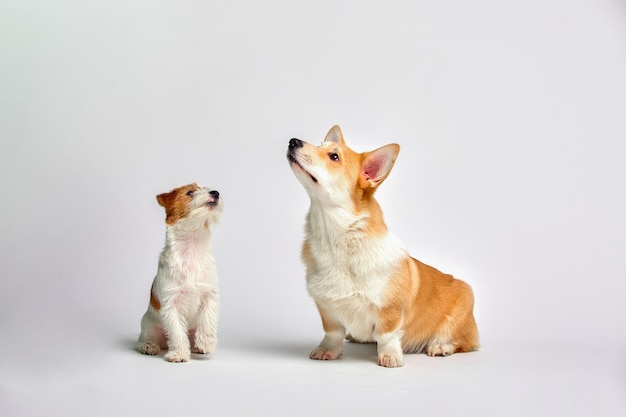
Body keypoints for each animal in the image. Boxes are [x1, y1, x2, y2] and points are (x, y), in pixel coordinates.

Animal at [136, 182, 222, 360]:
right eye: (190, 192)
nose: (216, 192)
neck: (192, 245)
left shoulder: (210, 295)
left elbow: (208, 320)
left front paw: (206, 343)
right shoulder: (171, 303)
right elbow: (176, 332)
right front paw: (179, 353)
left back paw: (196, 346)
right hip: (149, 326)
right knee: (141, 341)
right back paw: (148, 346)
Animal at [288, 125, 478, 366]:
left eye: (334, 156)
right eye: (320, 145)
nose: (293, 141)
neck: (335, 236)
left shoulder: (390, 310)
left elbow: (386, 334)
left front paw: (390, 357)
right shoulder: (326, 308)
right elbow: (332, 333)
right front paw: (327, 350)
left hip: (464, 304)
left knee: (463, 342)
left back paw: (441, 346)